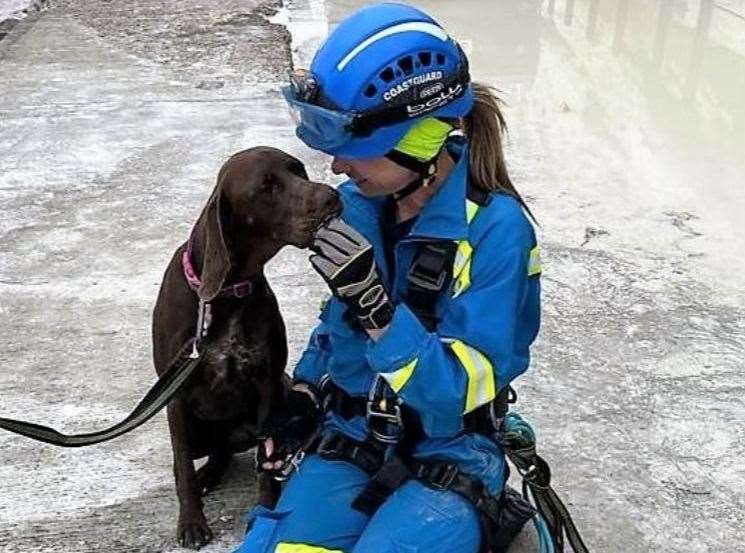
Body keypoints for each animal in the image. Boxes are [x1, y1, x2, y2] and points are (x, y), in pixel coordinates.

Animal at [151, 147, 340, 548]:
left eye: (299, 171)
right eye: (266, 186)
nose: (332, 197)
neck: (228, 291)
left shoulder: (268, 384)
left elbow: (265, 472)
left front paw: (264, 512)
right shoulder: (174, 396)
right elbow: (182, 469)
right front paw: (192, 522)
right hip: (196, 431)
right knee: (203, 457)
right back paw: (206, 478)